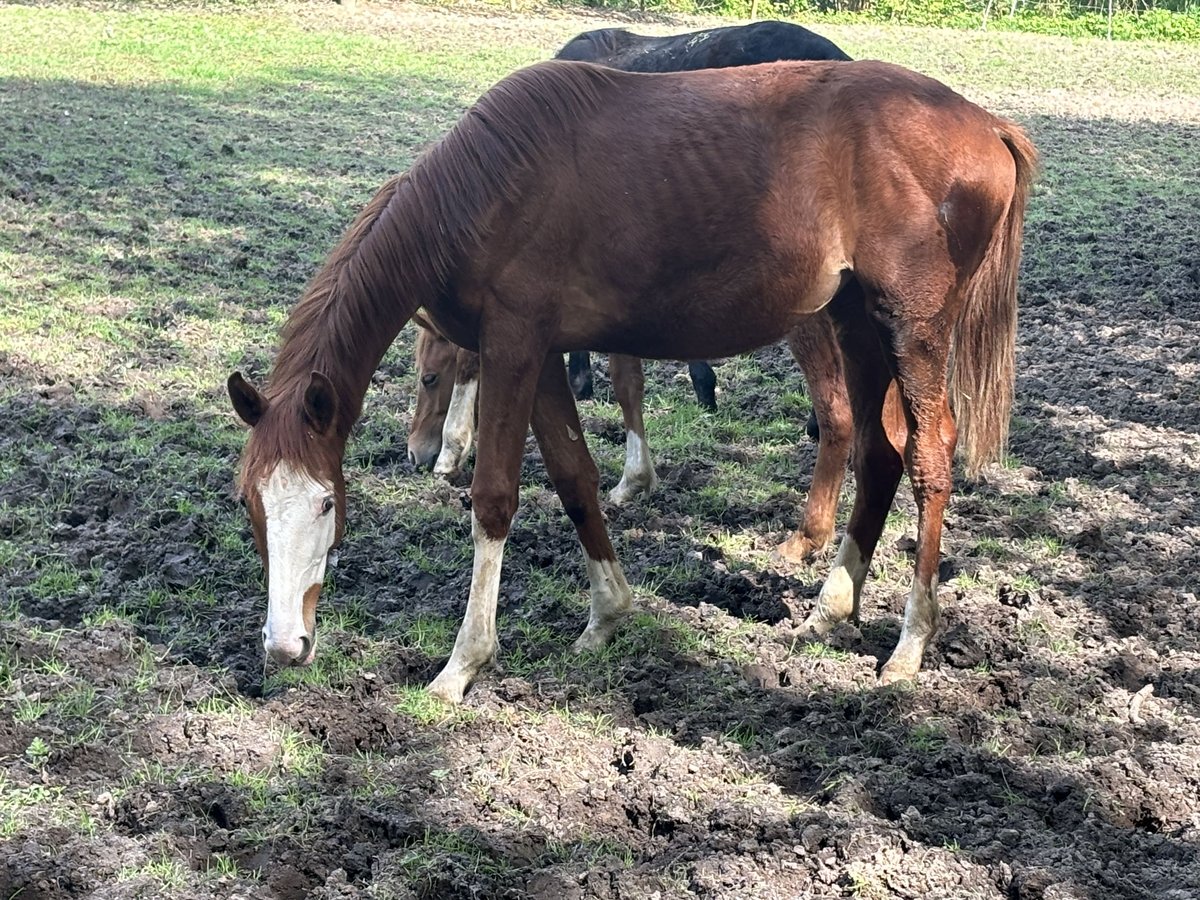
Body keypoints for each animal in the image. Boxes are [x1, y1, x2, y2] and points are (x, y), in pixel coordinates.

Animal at [229, 60, 1036, 705]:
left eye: (327, 502)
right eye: (251, 505)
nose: (285, 645)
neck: (485, 190)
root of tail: (987, 127)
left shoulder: (513, 345)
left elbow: (493, 498)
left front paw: (463, 665)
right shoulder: (541, 355)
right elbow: (574, 477)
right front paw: (608, 613)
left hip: (912, 327)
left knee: (930, 457)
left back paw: (910, 644)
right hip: (856, 322)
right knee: (879, 452)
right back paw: (832, 608)